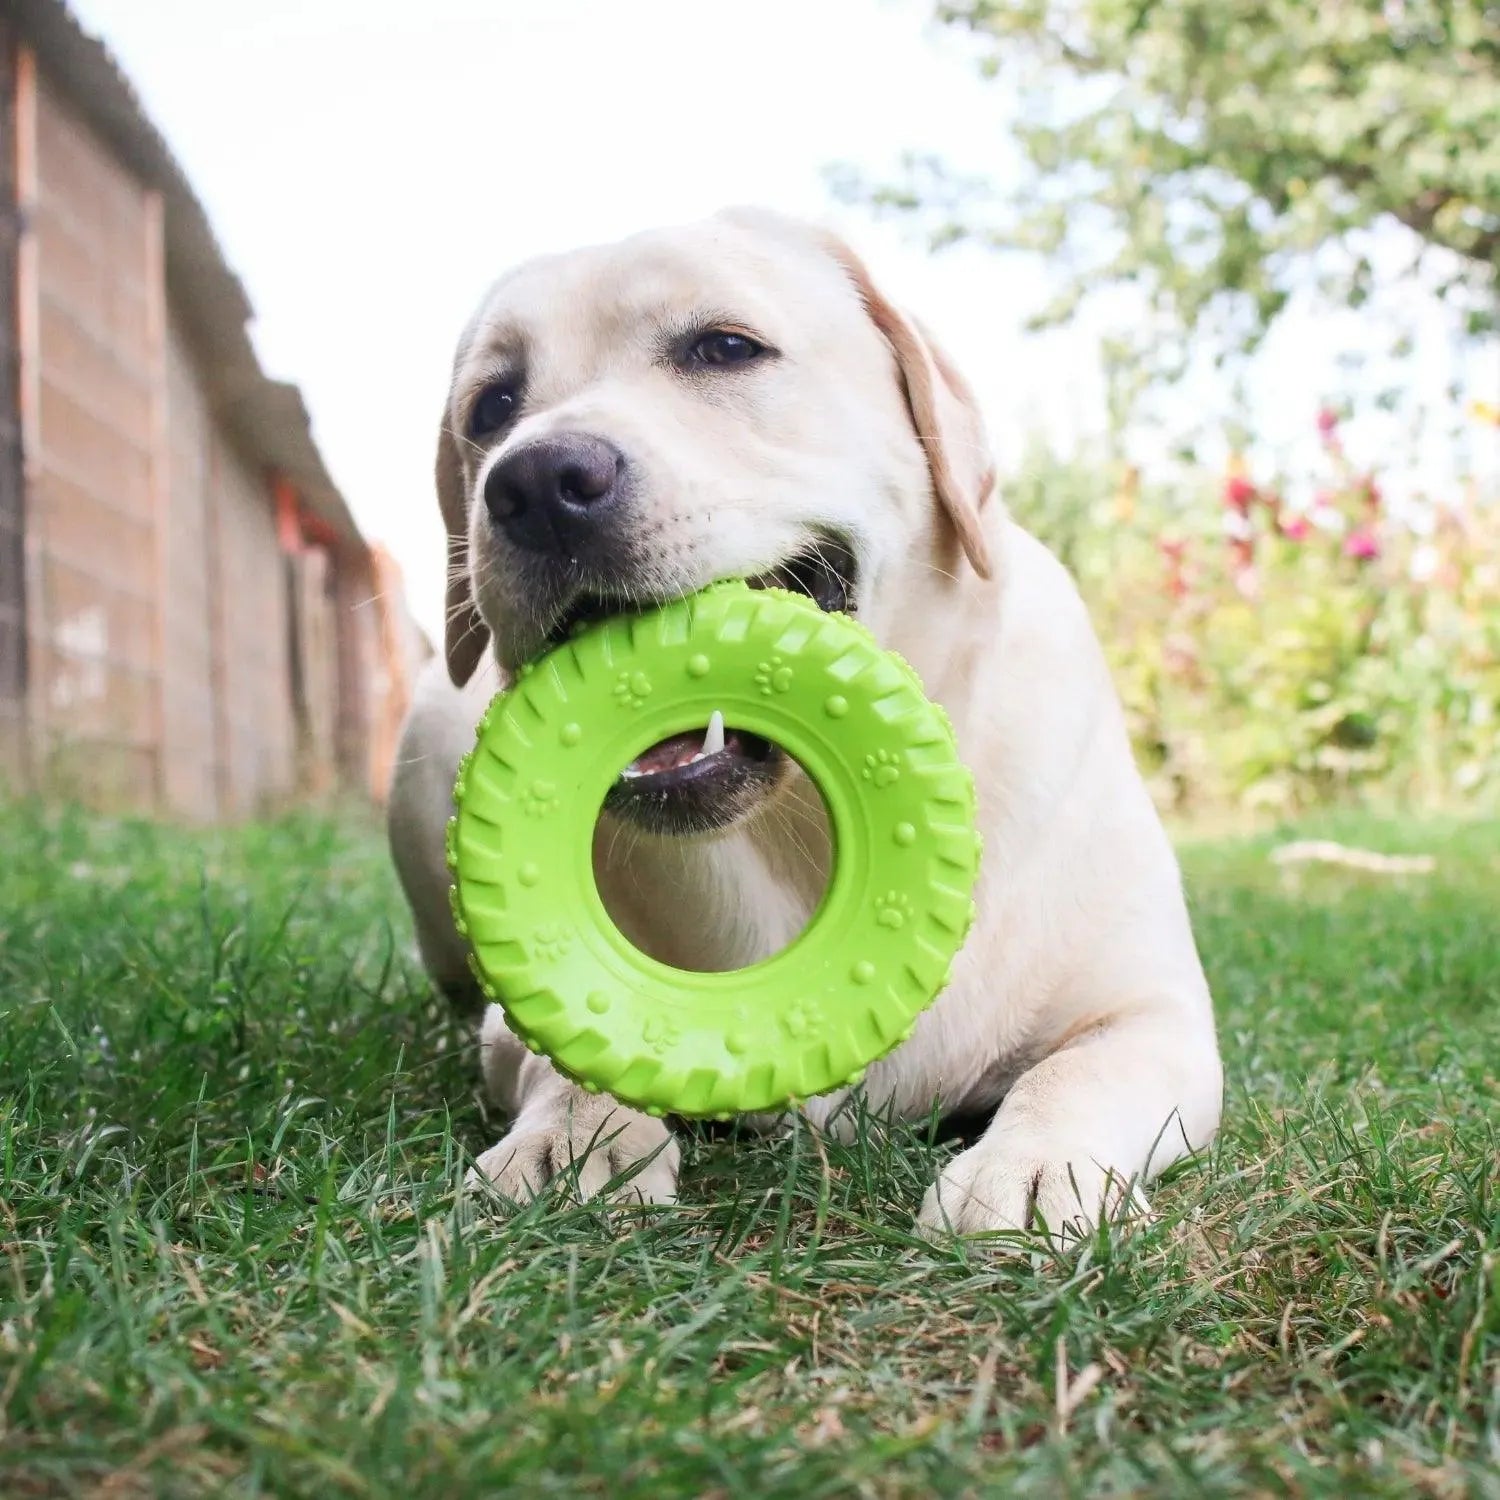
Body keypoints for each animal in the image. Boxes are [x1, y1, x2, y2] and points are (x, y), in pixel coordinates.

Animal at [387, 211, 1218, 1242]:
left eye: (725, 347)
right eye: (492, 406)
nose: (535, 483)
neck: (805, 833)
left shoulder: (1155, 1012)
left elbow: (1077, 1074)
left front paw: (1032, 1172)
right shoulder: (521, 1025)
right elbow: (565, 1059)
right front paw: (568, 1146)